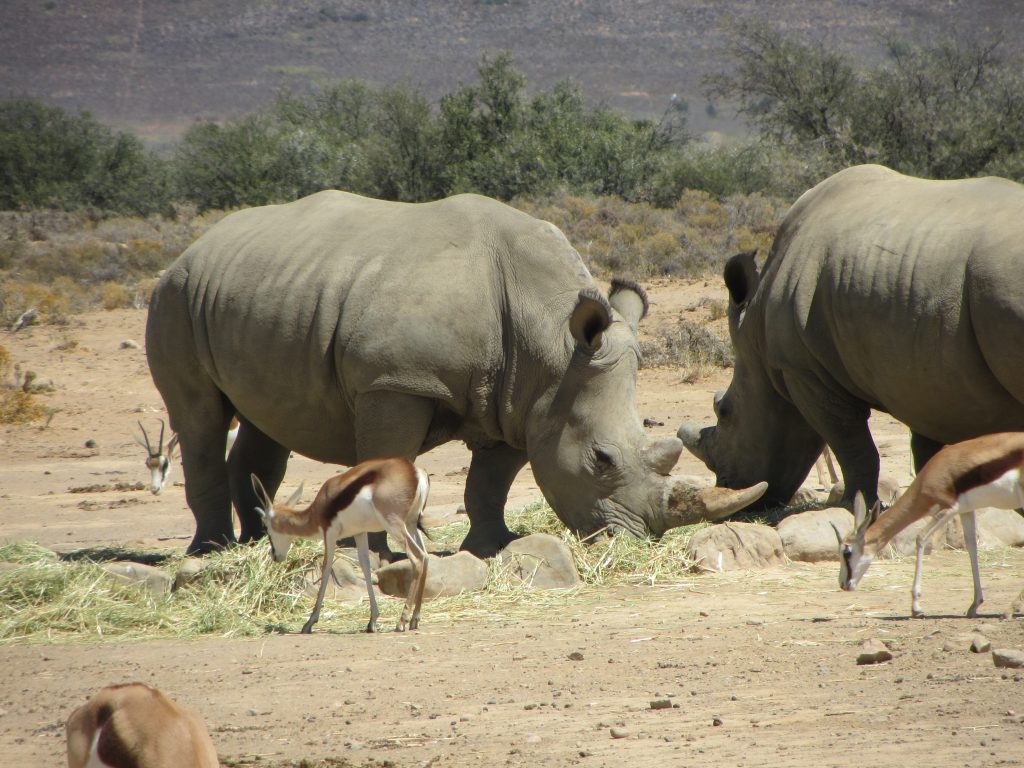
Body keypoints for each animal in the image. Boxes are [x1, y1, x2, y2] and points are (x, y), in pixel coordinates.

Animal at [258, 460, 434, 634]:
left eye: (265, 527)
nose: (275, 555)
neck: (321, 507)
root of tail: (414, 471)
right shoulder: (360, 532)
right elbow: (365, 566)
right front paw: (372, 621)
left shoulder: (330, 533)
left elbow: (326, 567)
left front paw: (309, 623)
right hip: (411, 524)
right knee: (426, 556)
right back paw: (414, 620)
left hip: (394, 525)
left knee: (417, 558)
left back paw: (401, 622)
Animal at [835, 434, 1024, 618]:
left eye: (846, 552)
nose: (843, 584)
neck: (933, 474)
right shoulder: (966, 511)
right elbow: (972, 547)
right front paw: (974, 605)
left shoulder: (947, 509)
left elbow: (921, 538)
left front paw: (916, 608)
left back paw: (1009, 611)